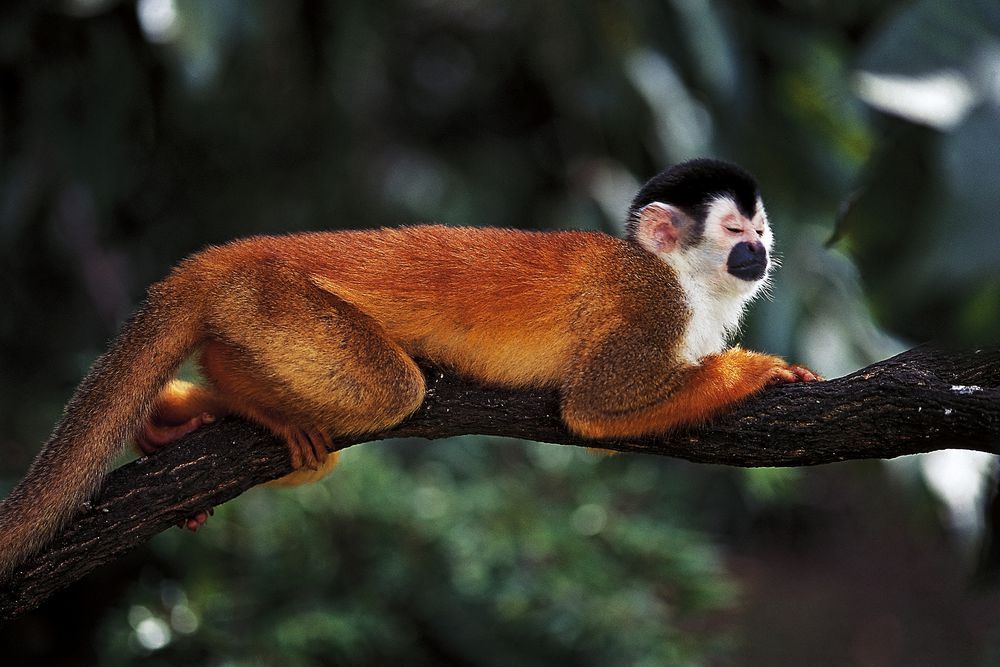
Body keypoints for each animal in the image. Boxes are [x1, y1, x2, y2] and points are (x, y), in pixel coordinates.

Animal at [0, 158, 818, 577]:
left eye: (760, 229)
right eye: (735, 232)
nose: (760, 252)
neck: (682, 278)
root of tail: (225, 257)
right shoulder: (651, 305)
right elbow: (592, 404)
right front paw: (755, 371)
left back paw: (183, 414)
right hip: (274, 300)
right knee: (392, 389)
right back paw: (242, 394)